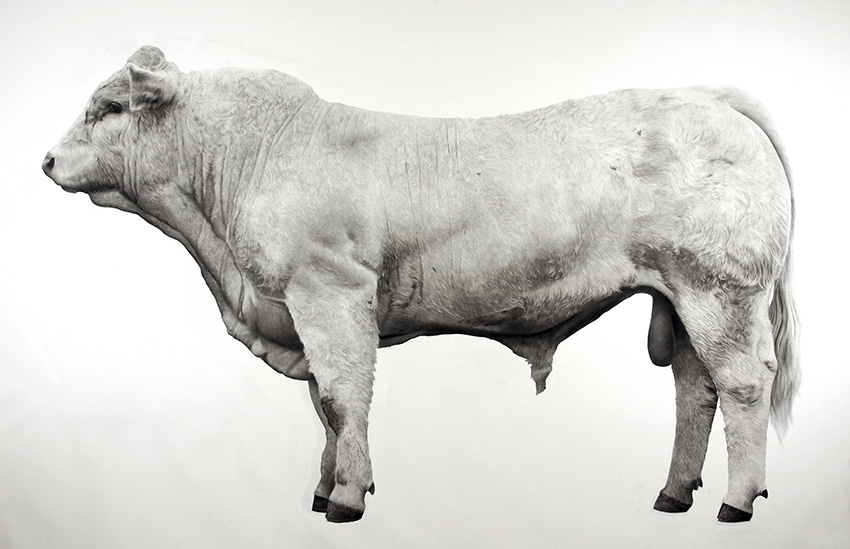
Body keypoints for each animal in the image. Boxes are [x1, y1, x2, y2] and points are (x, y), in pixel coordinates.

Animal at [42, 46, 798, 523]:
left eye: (110, 107)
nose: (46, 158)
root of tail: (708, 97)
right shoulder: (308, 310)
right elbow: (324, 404)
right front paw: (325, 486)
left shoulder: (330, 294)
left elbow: (342, 397)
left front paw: (346, 497)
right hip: (684, 296)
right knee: (695, 390)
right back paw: (675, 493)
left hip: (719, 292)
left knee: (743, 385)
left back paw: (736, 500)